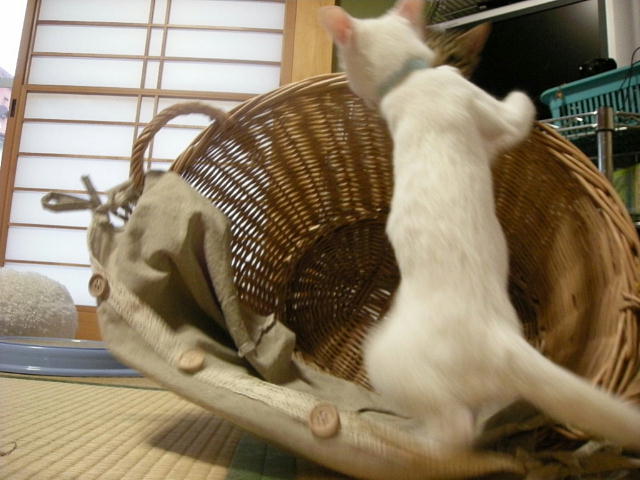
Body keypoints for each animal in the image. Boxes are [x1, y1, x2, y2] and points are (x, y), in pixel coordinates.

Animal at [320, 0, 640, 453]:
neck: (411, 77)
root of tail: (500, 342)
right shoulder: (493, 115)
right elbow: (518, 113)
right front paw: (528, 97)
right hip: (384, 355)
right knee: (454, 433)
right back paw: (413, 441)